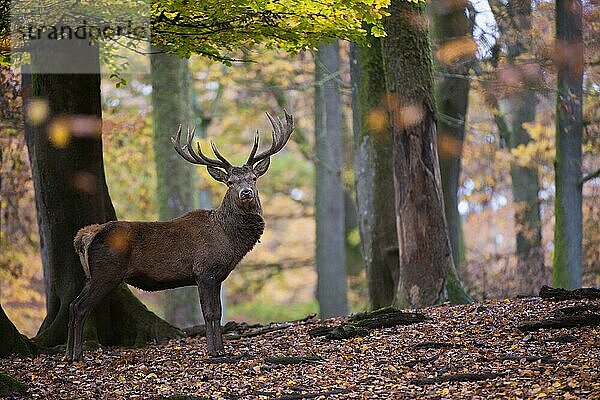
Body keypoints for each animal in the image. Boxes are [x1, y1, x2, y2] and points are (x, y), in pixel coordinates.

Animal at [67, 110, 294, 362]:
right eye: (230, 182)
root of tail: (85, 236)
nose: (246, 193)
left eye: (254, 178)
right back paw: (77, 355)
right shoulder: (204, 271)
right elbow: (209, 313)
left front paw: (222, 349)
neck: (229, 241)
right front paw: (213, 351)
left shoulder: (219, 276)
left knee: (72, 305)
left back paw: (68, 354)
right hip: (106, 273)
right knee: (81, 307)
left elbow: (219, 313)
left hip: (91, 275)